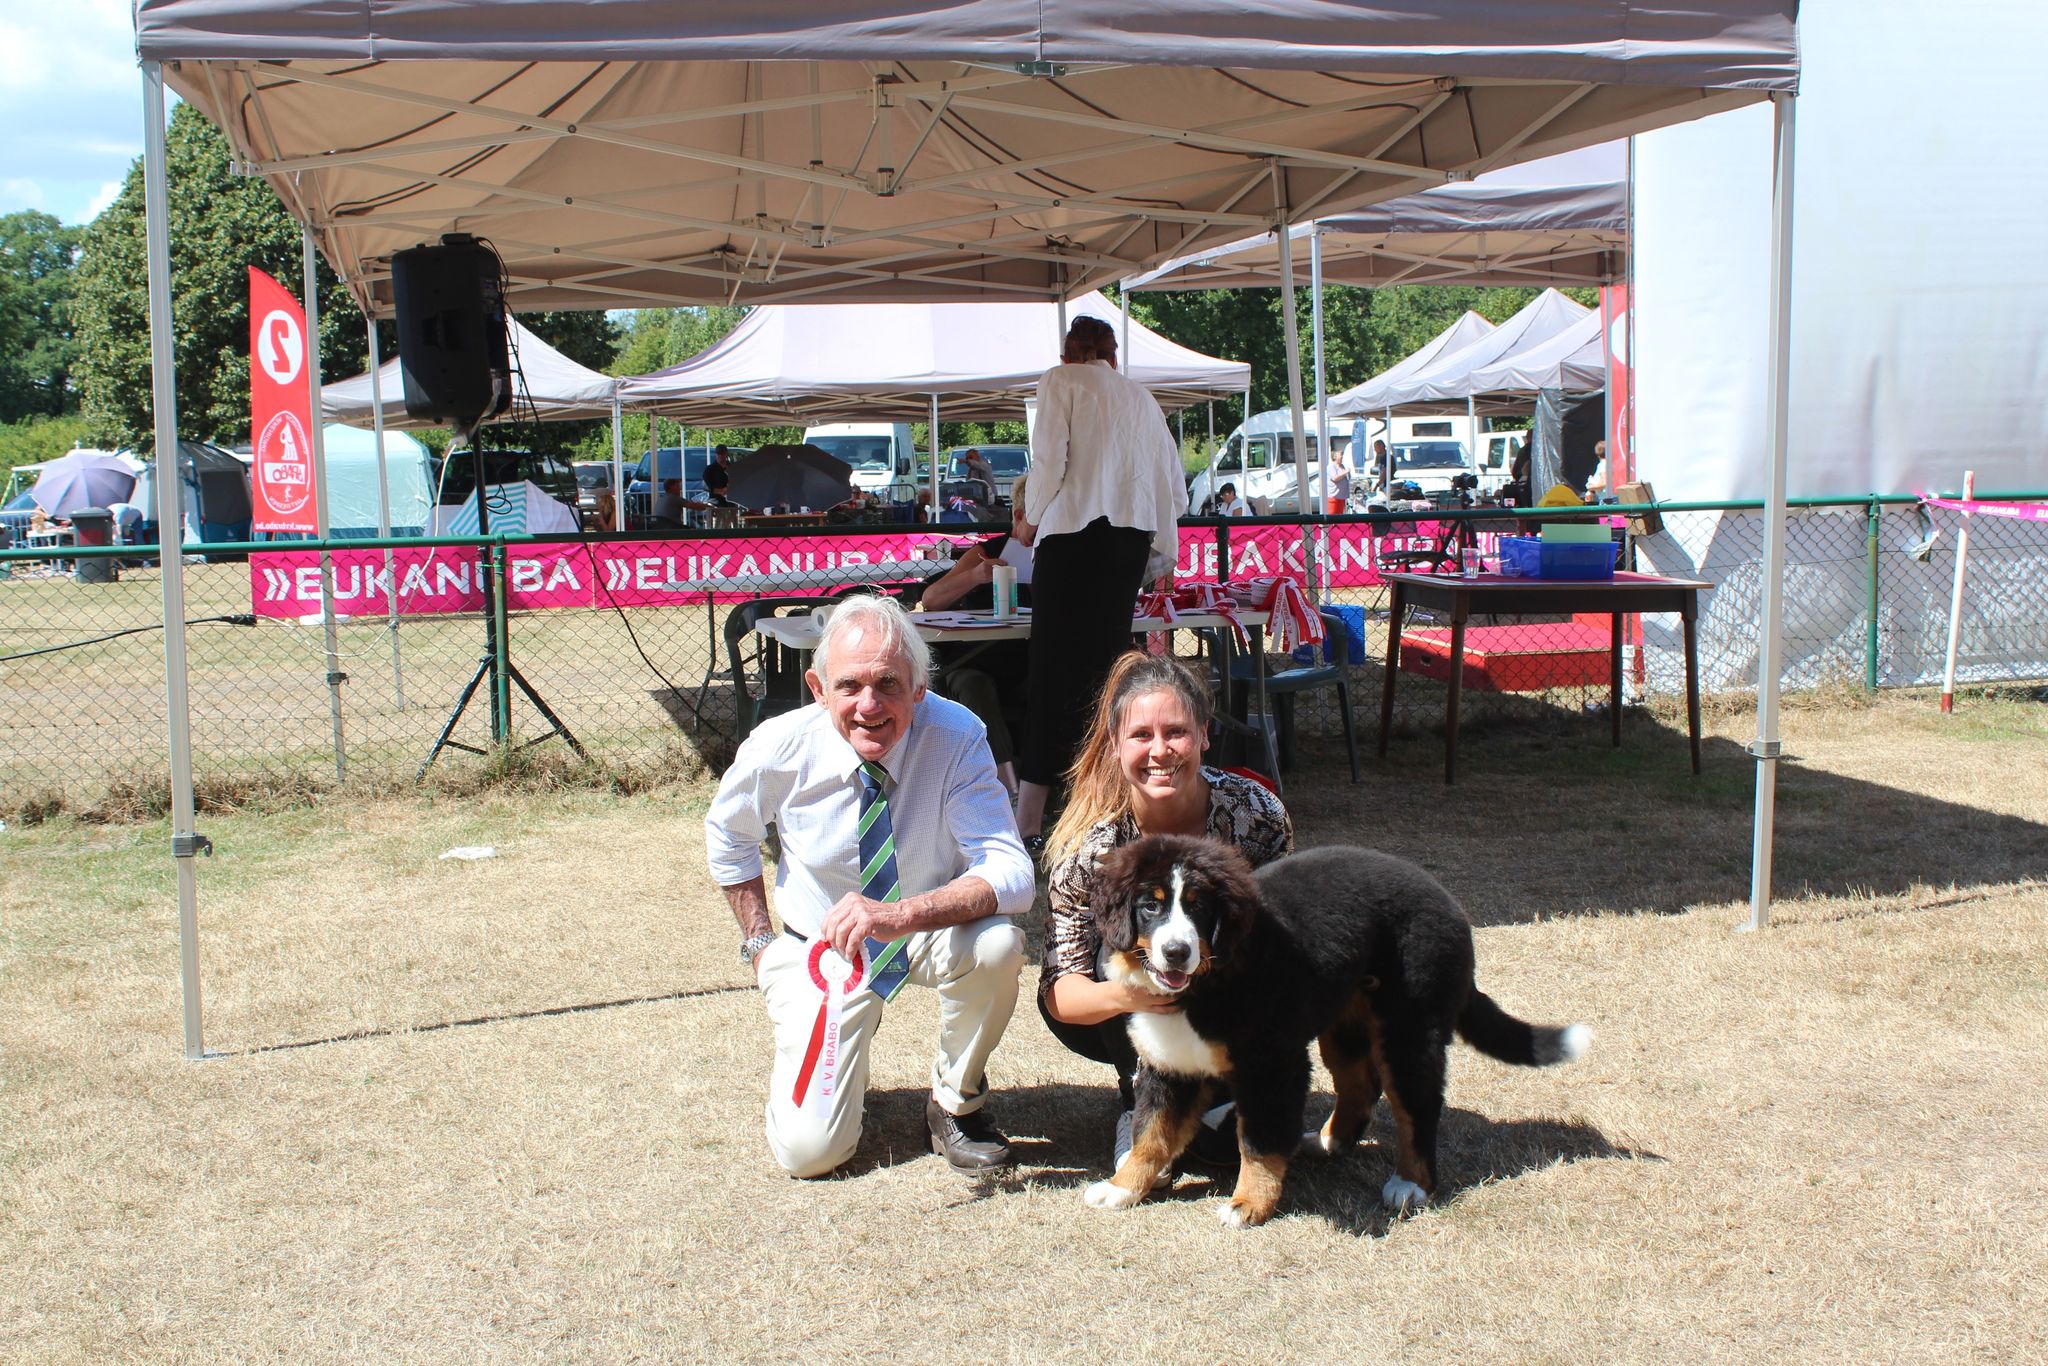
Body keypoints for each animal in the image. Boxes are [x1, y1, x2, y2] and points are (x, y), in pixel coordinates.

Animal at [1082, 834, 1588, 1228]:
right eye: (1150, 906)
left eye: (1199, 908)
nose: (1176, 952)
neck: (1210, 979)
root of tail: (1446, 900)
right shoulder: (1171, 1064)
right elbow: (1152, 1133)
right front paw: (1121, 1187)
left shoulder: (1272, 1064)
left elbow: (1257, 1140)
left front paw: (1248, 1205)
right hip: (1345, 1023)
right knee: (1361, 1086)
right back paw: (1327, 1141)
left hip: (1410, 1027)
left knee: (1417, 1107)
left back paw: (1410, 1184)